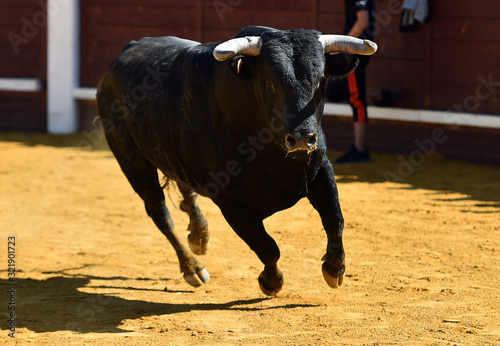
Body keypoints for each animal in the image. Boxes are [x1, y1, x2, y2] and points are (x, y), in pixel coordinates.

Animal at [96, 25, 376, 296]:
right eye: (269, 82)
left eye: (321, 80)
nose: (301, 138)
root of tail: (126, 51)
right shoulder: (231, 202)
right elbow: (266, 246)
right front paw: (271, 282)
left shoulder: (320, 168)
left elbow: (335, 220)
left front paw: (334, 269)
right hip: (132, 162)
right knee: (159, 212)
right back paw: (192, 268)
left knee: (186, 190)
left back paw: (199, 237)